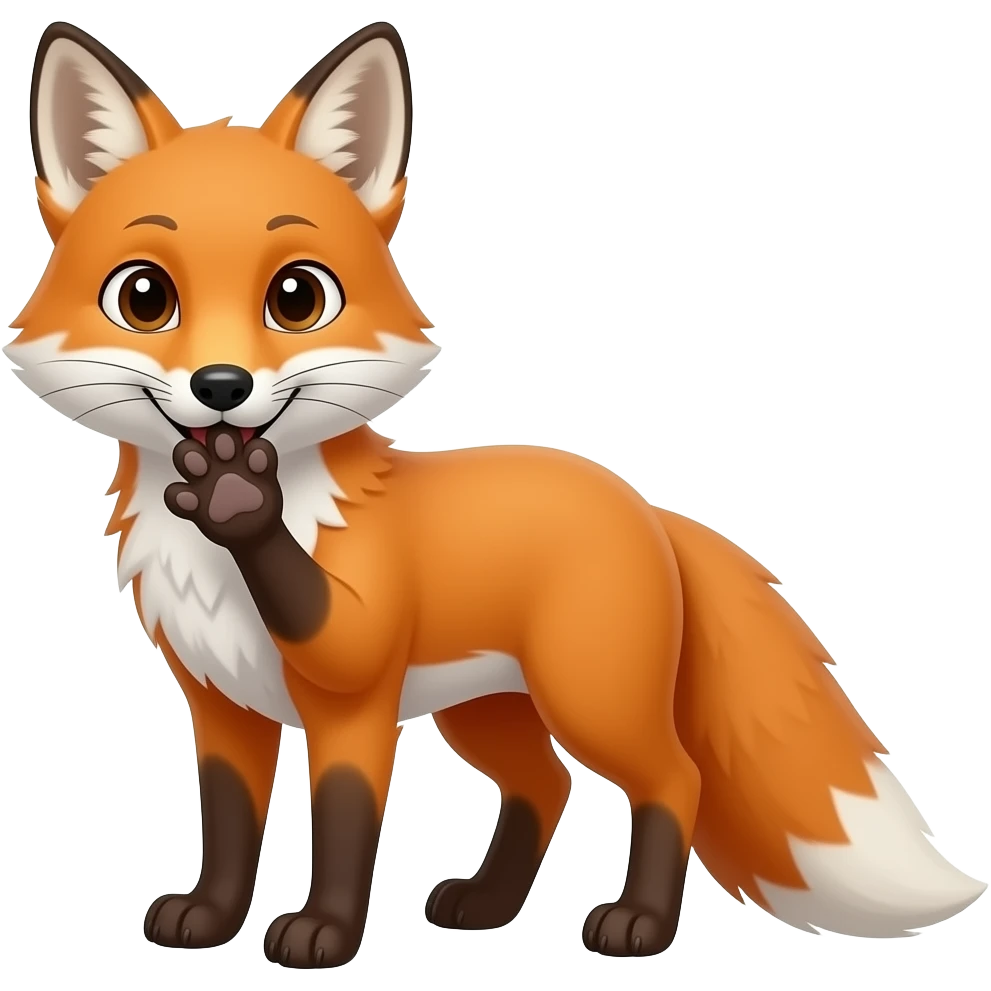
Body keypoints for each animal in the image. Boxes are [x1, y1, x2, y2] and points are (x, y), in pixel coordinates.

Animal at [3, 17, 986, 969]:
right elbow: (231, 827)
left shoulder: (354, 689)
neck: (217, 577)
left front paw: (324, 934)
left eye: (297, 297)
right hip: (485, 710)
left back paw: (638, 923)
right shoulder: (222, 705)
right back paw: (485, 906)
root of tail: (646, 507)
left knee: (674, 778)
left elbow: (345, 821)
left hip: (588, 698)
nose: (220, 387)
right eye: (144, 297)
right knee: (544, 785)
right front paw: (208, 918)